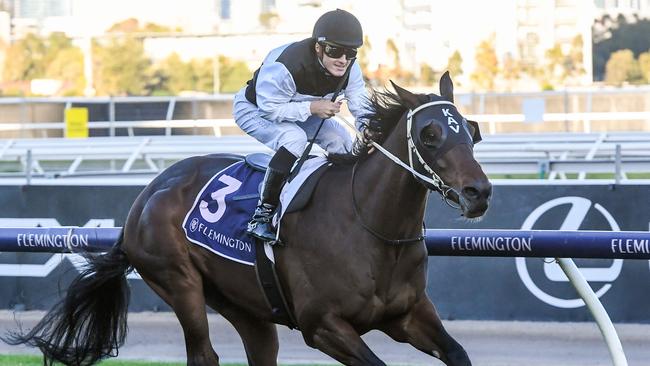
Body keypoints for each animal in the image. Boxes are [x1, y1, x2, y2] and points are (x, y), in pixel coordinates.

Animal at [5, 73, 488, 364]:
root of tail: (143, 199)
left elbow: (459, 353)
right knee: (203, 354)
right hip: (178, 282)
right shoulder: (323, 326)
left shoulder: (407, 315)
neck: (372, 228)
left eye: (470, 129)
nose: (479, 192)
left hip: (245, 306)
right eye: (429, 134)